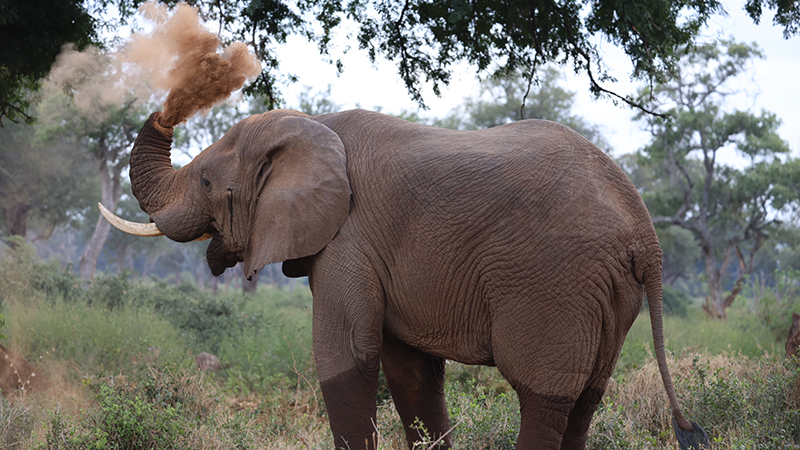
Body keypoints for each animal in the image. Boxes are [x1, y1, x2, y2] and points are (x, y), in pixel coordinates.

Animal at [103, 108, 709, 449]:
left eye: (207, 182)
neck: (309, 128)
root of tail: (644, 231)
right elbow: (410, 374)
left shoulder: (349, 237)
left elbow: (344, 355)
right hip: (607, 292)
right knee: (586, 401)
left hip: (556, 283)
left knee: (544, 397)